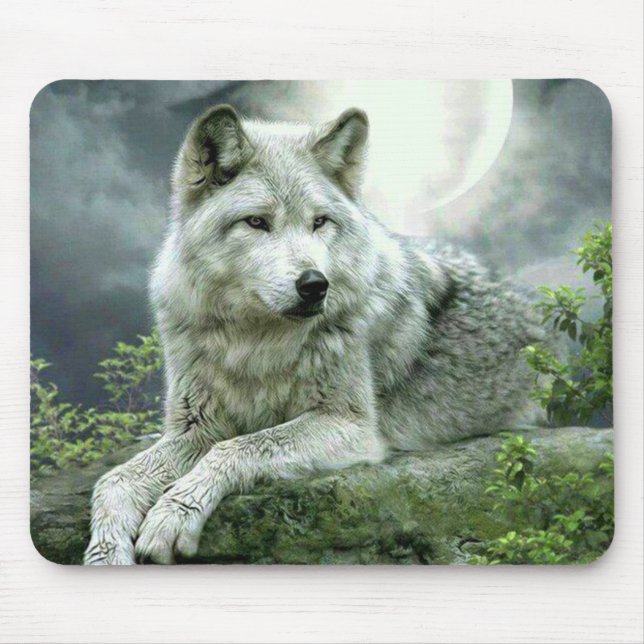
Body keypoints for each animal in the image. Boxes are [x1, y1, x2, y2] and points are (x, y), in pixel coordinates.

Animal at [84, 105, 545, 565]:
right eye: (257, 222)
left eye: (319, 222)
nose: (314, 285)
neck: (254, 344)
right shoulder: (195, 428)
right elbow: (114, 480)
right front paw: (106, 555)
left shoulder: (351, 426)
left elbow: (240, 447)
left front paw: (173, 514)